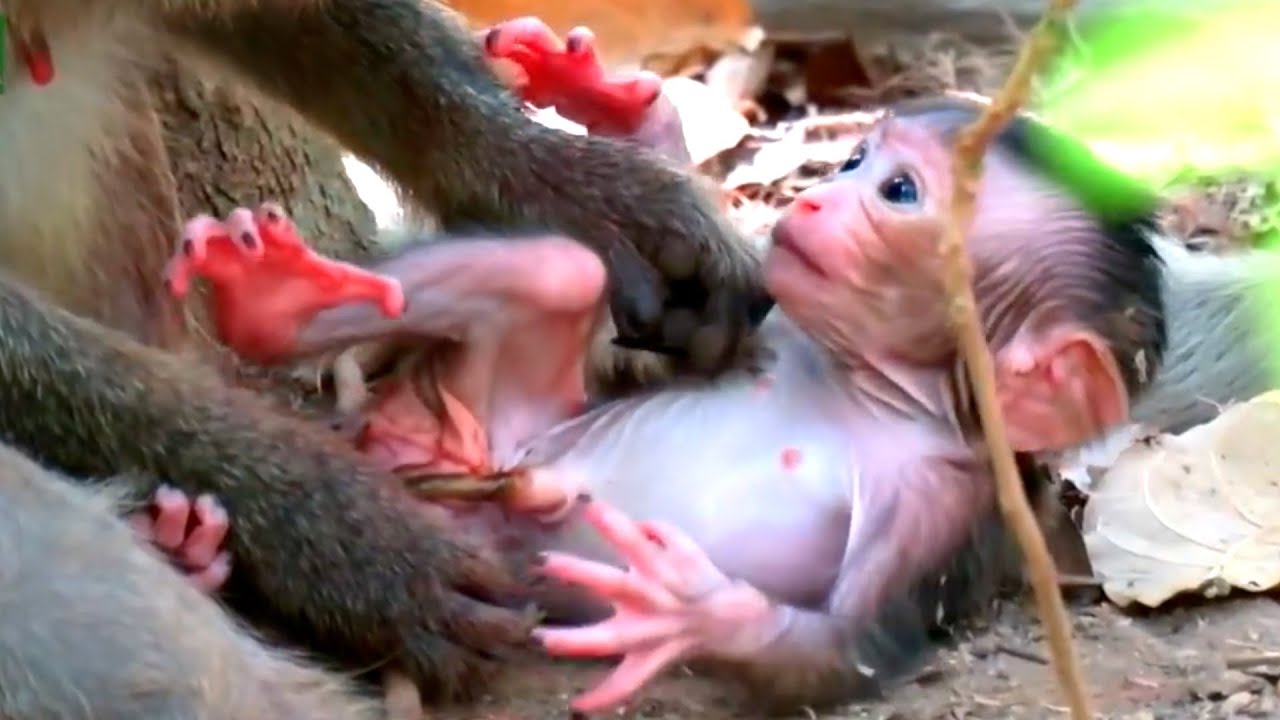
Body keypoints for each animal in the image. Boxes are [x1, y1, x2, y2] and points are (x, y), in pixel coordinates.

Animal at [164, 75, 1167, 714]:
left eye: (898, 191)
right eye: (855, 163)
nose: (815, 202)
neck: (871, 384)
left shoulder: (943, 502)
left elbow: (842, 651)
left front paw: (686, 608)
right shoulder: (759, 312)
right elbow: (689, 307)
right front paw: (631, 113)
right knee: (562, 265)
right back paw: (273, 313)